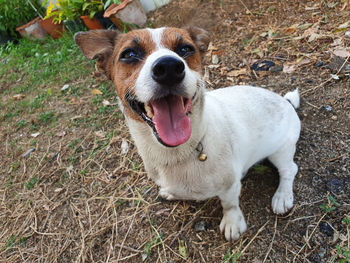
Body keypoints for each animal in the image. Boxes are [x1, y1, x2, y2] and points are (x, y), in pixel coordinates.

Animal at [74, 26, 300, 241]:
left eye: (185, 49)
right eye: (129, 54)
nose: (168, 68)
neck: (178, 152)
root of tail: (286, 101)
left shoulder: (229, 188)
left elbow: (230, 204)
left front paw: (233, 222)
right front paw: (171, 193)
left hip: (280, 151)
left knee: (289, 169)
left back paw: (282, 196)